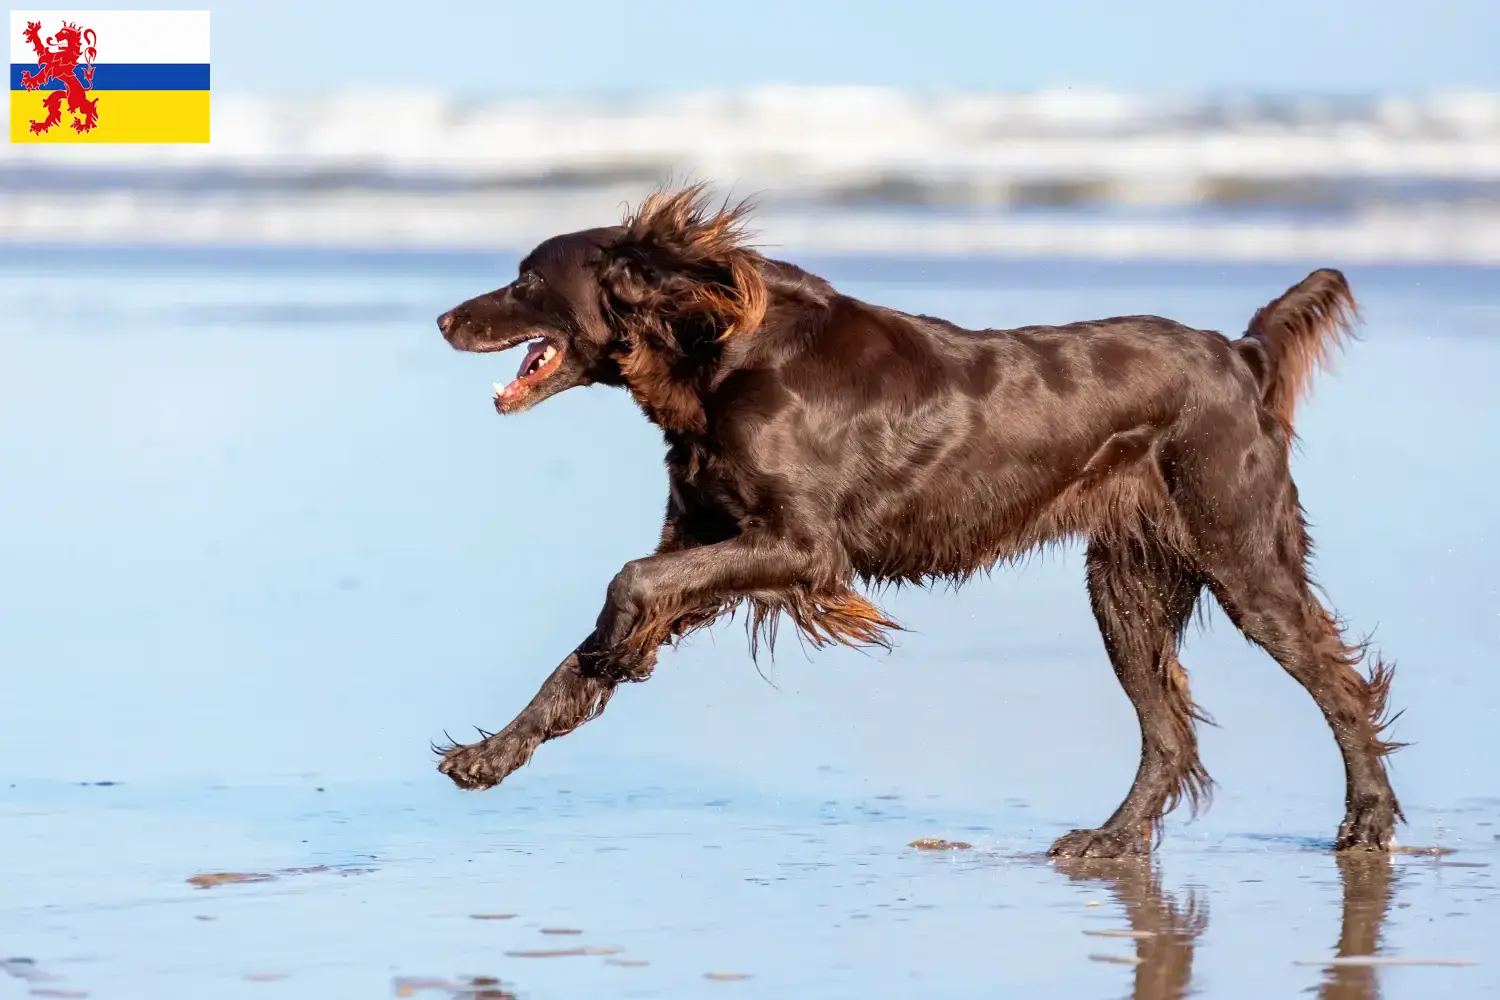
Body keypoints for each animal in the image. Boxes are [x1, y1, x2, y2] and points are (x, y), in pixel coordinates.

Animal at [429, 183, 1398, 857]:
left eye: (526, 279)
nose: (443, 317)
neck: (723, 352)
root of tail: (1240, 355)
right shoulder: (710, 538)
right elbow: (601, 631)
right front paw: (495, 752)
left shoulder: (800, 546)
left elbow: (629, 581)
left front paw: (616, 648)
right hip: (1124, 586)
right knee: (1168, 734)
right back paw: (1111, 841)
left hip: (1241, 553)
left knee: (1337, 684)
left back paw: (1369, 821)